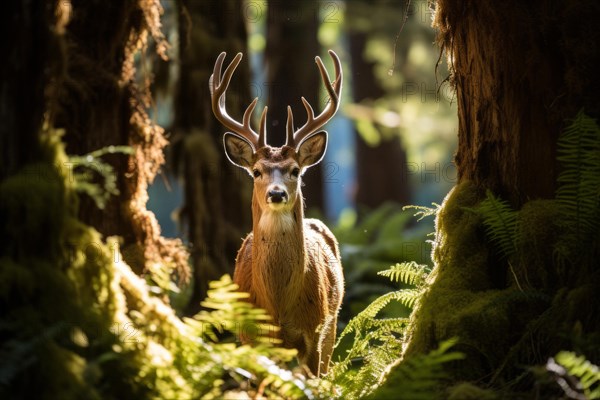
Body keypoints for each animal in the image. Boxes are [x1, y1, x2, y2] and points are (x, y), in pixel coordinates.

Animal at [209, 50, 344, 376]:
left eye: (295, 170)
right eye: (257, 171)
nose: (277, 193)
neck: (278, 306)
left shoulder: (313, 332)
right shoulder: (249, 336)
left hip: (332, 324)